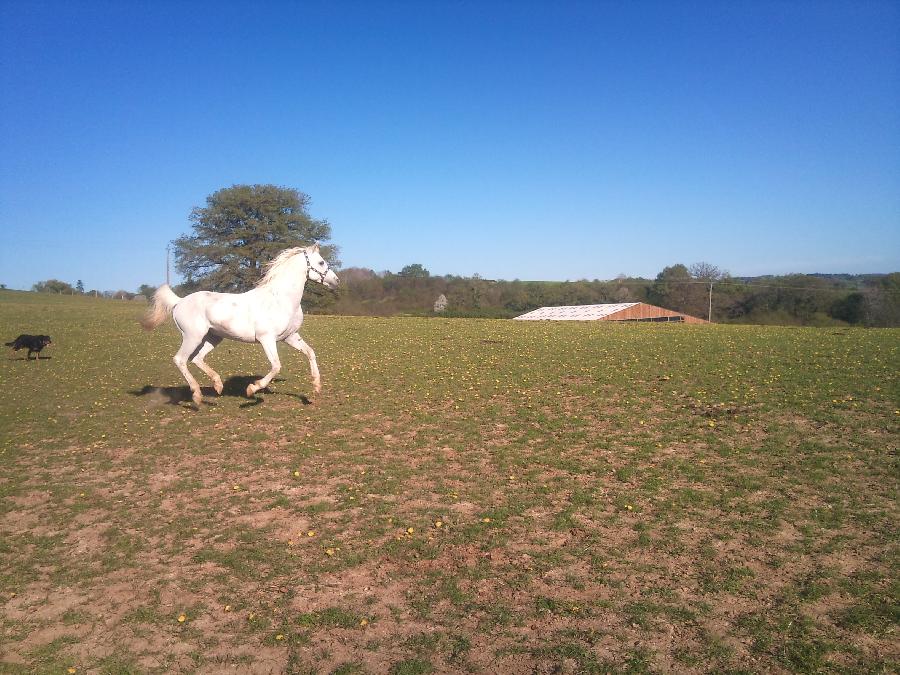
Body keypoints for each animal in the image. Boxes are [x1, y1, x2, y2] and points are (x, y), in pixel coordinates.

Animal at [139, 247, 340, 406]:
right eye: (321, 262)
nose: (336, 281)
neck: (281, 299)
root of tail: (179, 302)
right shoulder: (267, 339)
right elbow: (276, 366)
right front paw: (252, 389)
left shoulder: (290, 337)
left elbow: (310, 352)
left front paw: (316, 387)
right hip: (192, 336)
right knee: (180, 359)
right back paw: (197, 395)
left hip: (213, 337)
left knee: (197, 359)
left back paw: (218, 386)